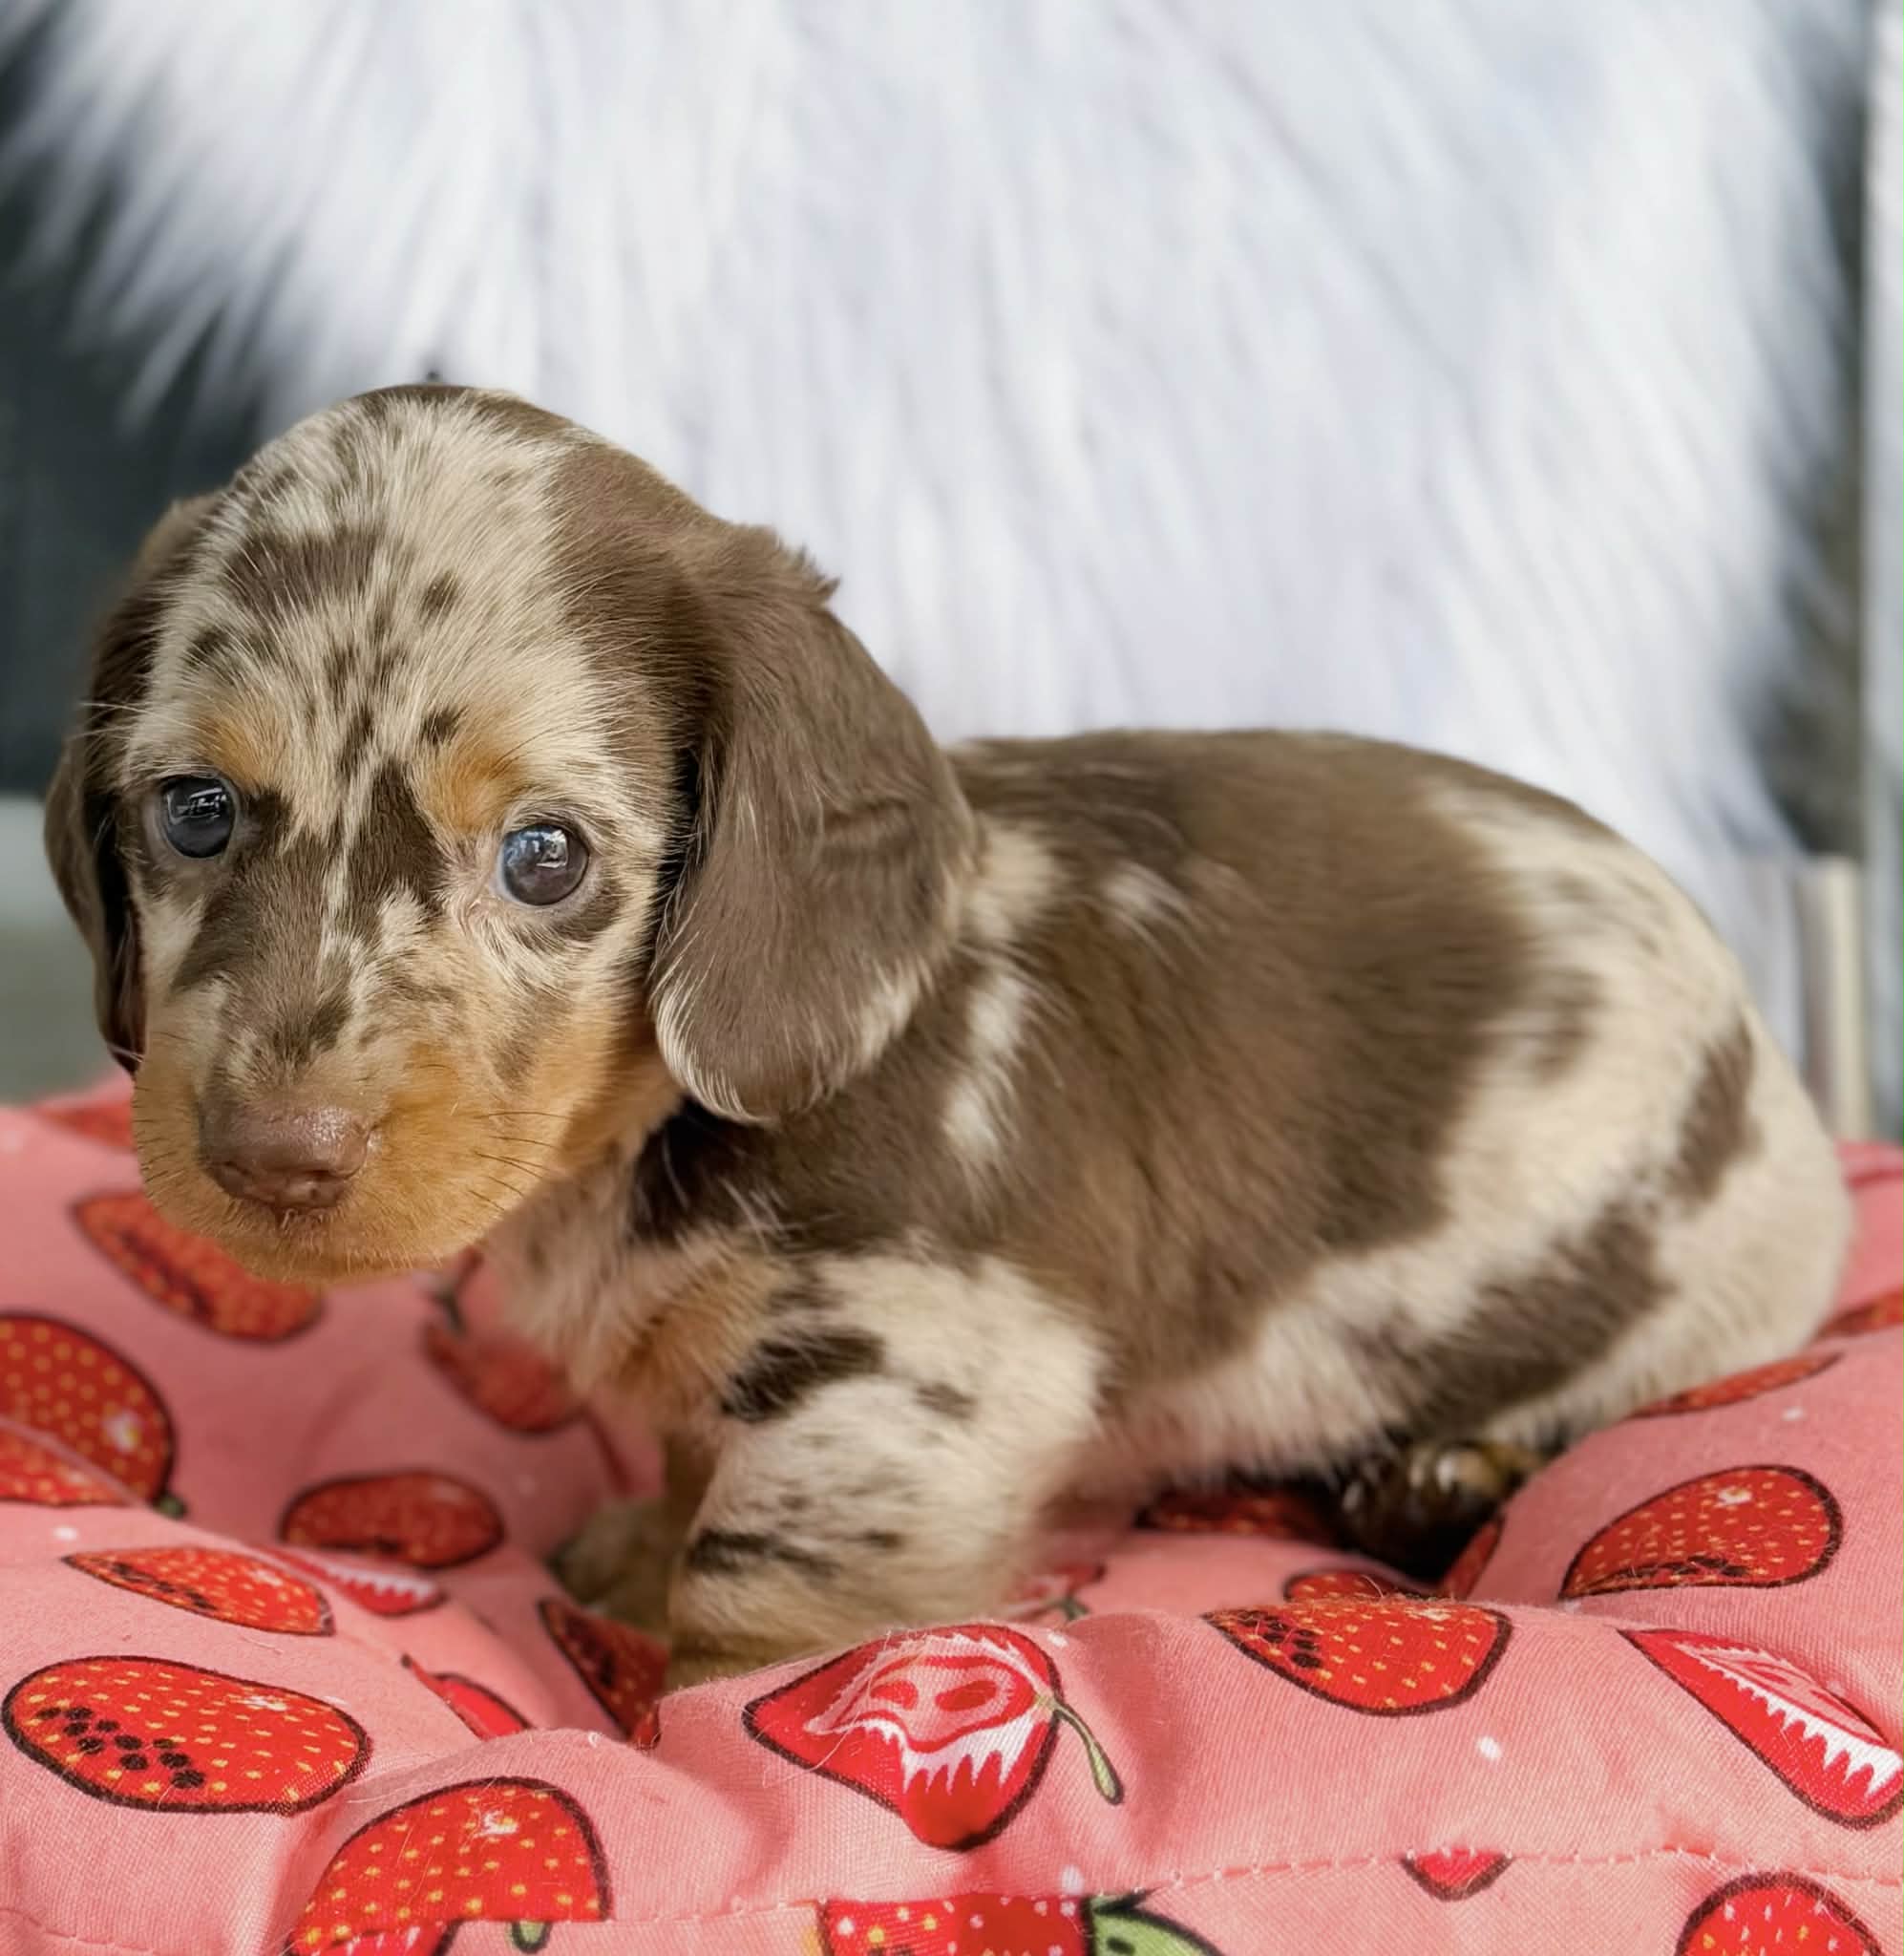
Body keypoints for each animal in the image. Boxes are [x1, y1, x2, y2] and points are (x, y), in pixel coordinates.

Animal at [45, 384, 1852, 1686]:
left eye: (544, 856)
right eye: (195, 811)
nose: (267, 1157)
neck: (637, 1135)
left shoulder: (906, 1376)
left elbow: (752, 1608)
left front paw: (713, 1737)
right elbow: (691, 1466)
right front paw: (631, 1549)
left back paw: (1446, 1473)